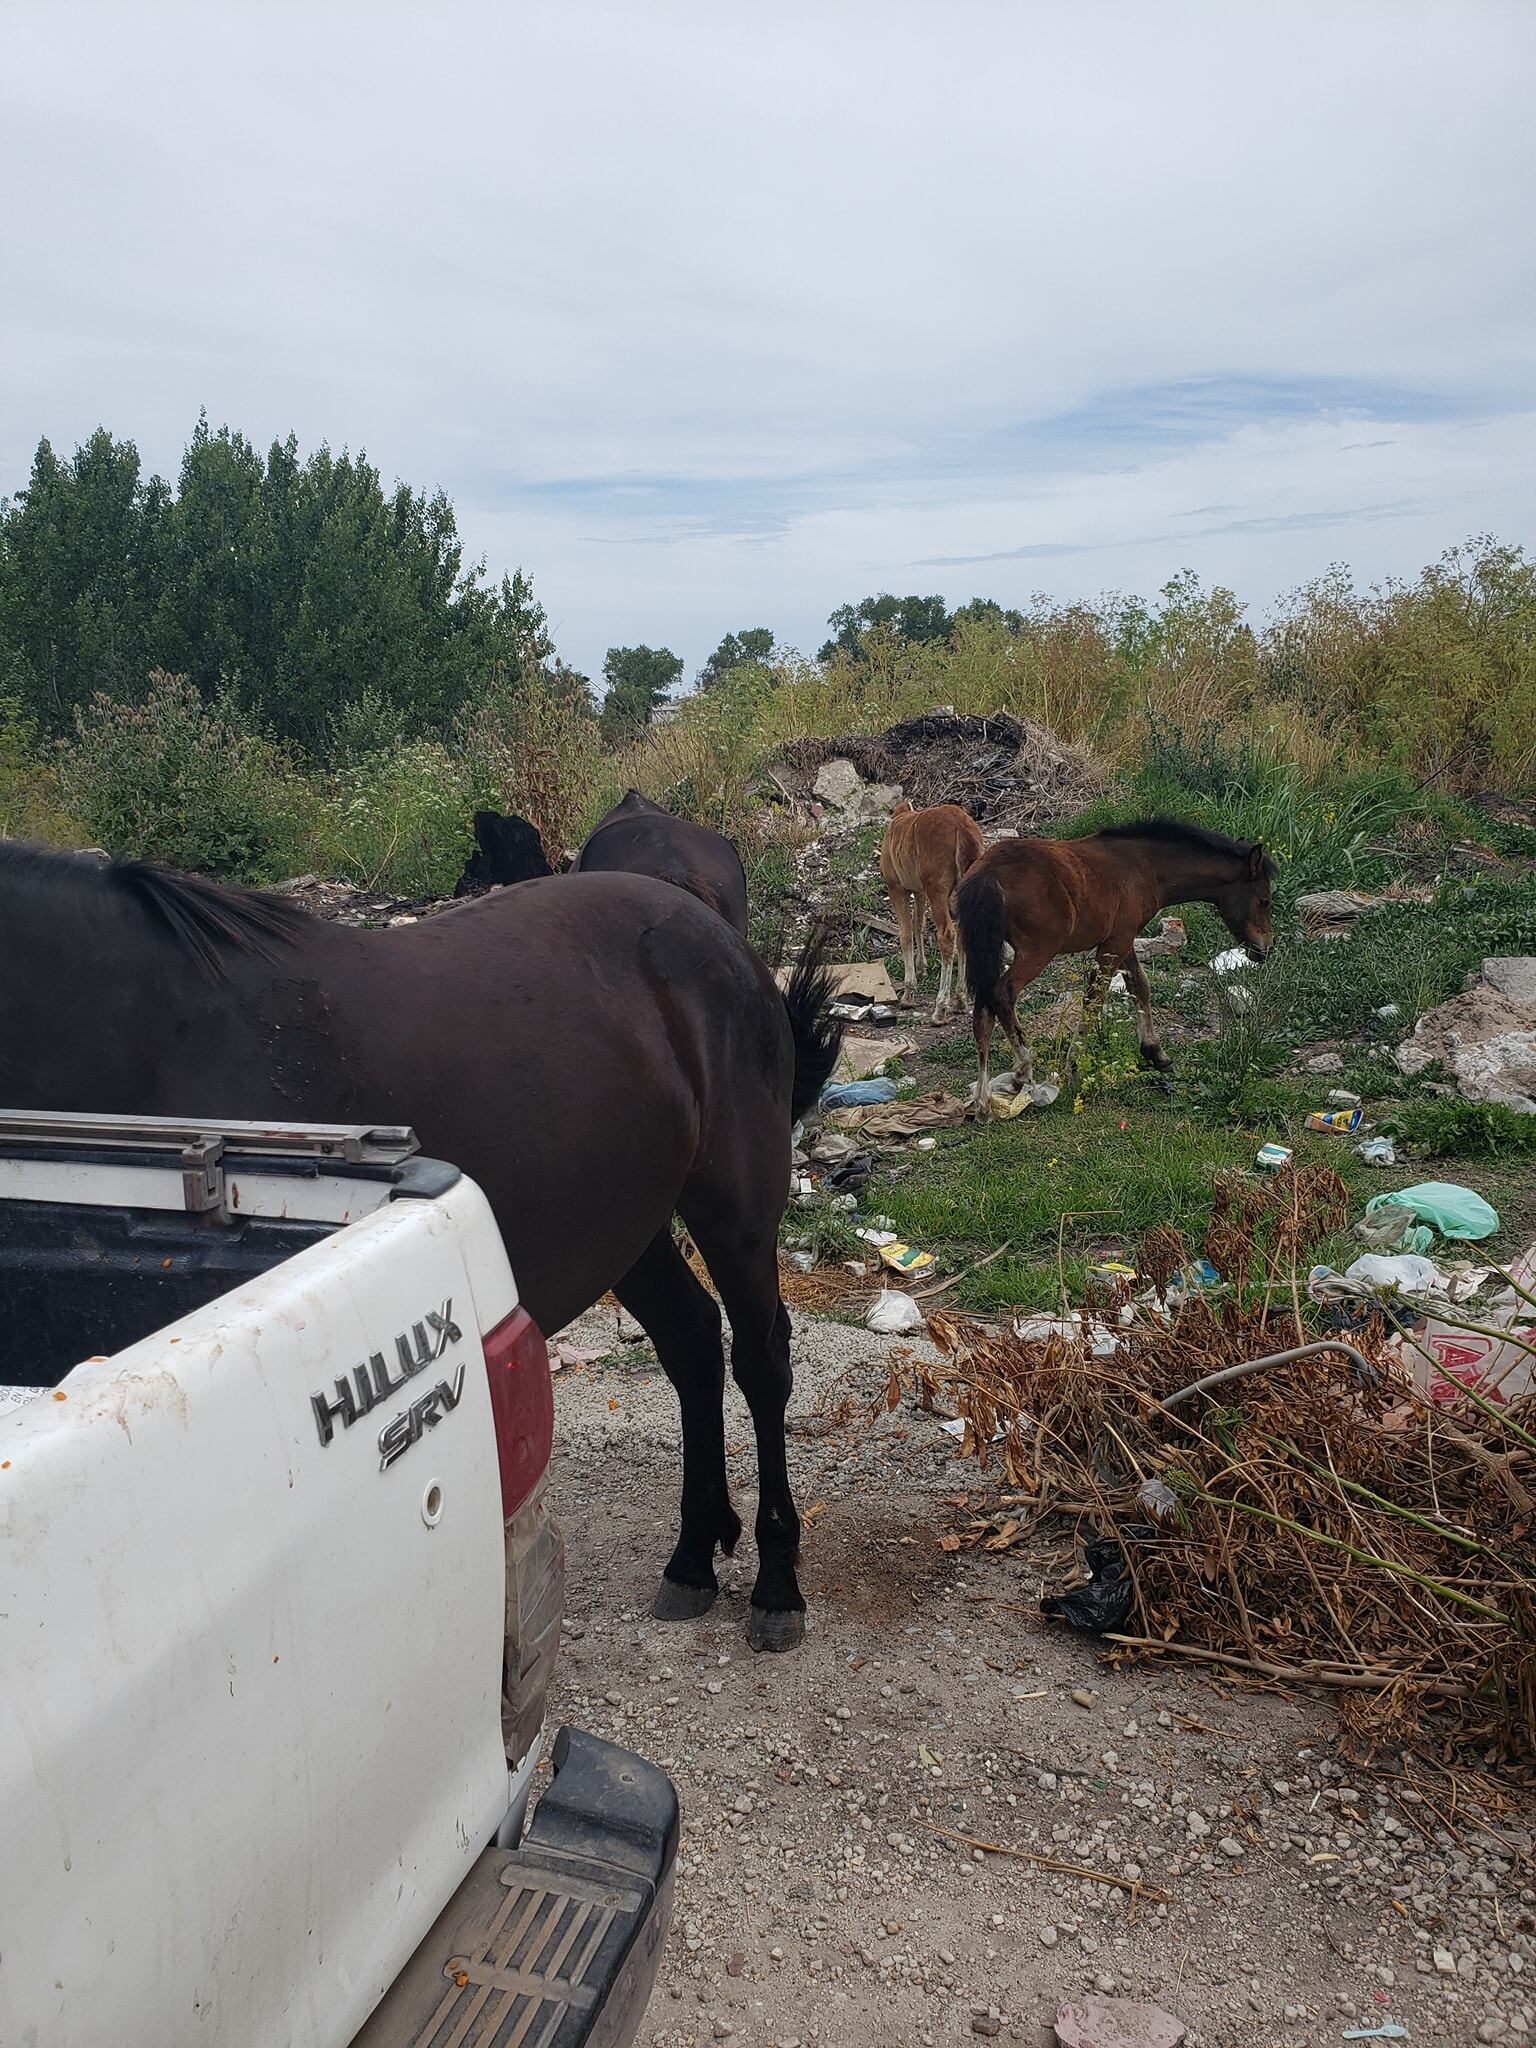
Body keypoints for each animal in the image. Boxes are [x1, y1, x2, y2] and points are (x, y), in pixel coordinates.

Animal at [0, 839, 843, 1654]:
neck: (147, 1029)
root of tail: (718, 934)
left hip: (733, 1208)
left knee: (760, 1361)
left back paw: (777, 1583)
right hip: (627, 1223)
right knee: (692, 1343)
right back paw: (693, 1558)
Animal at [962, 811, 1277, 1122]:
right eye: (1264, 900)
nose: (1264, 950)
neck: (1143, 866)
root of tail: (989, 873)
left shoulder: (1122, 938)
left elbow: (1140, 986)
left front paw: (1156, 1053)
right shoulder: (1117, 941)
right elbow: (1095, 999)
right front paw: (1073, 1069)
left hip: (986, 949)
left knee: (983, 1006)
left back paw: (984, 1102)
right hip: (1037, 951)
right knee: (1002, 993)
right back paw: (1022, 1072)